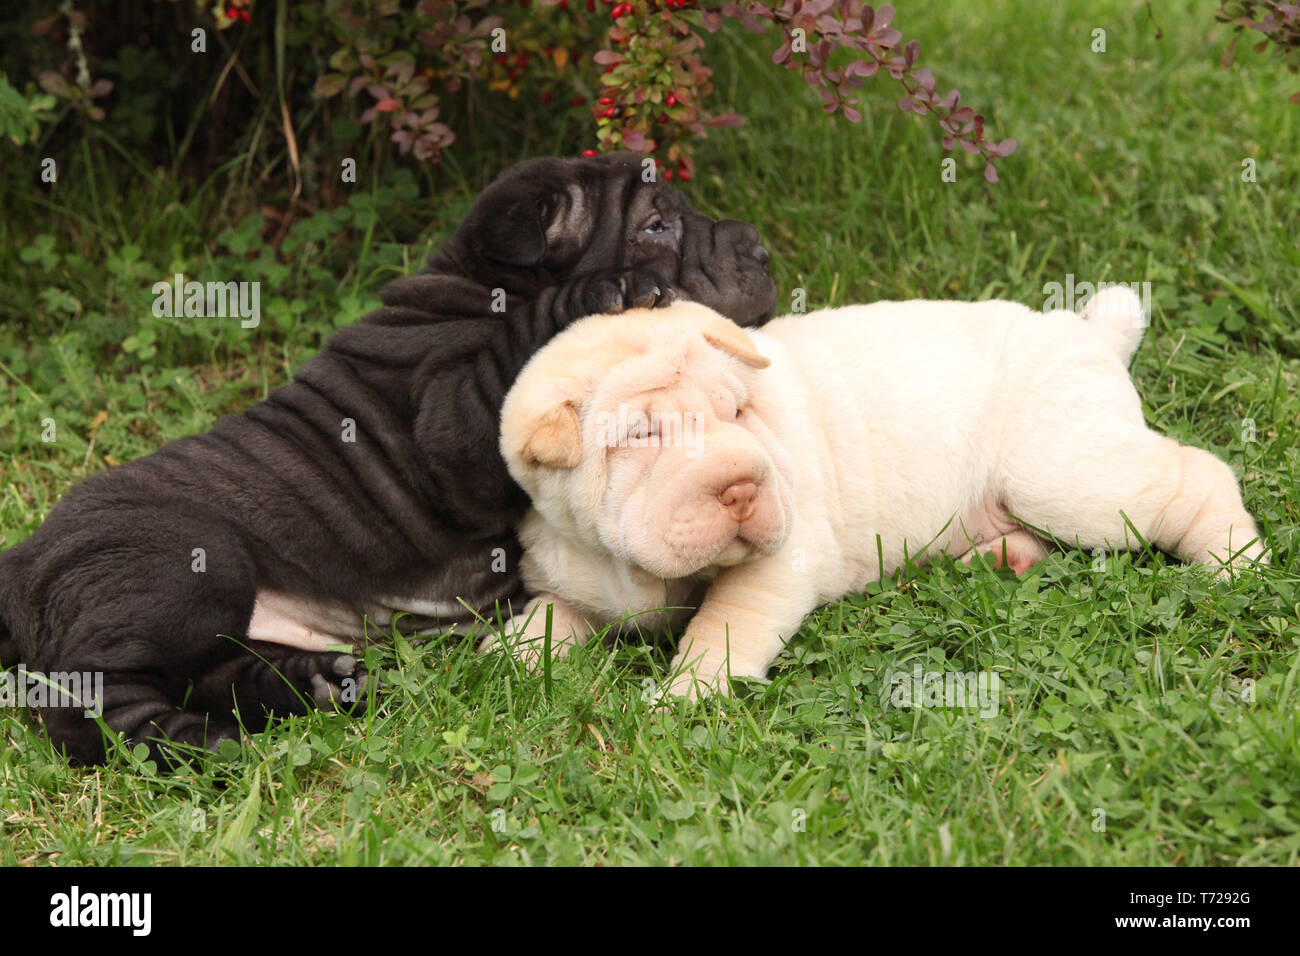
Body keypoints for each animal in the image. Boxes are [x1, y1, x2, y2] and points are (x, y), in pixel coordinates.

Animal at [0, 153, 769, 764]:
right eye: (657, 226)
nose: (760, 247)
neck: (476, 290)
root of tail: (24, 557)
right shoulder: (450, 429)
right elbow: (508, 359)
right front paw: (597, 294)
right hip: (187, 563)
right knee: (89, 698)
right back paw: (192, 745)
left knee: (211, 671)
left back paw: (315, 683)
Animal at [483, 287, 1263, 697]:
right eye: (644, 436)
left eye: (737, 411)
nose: (740, 488)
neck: (631, 567)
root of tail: (1090, 331)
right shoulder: (565, 571)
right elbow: (543, 620)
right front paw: (502, 657)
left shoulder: (779, 561)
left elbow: (724, 624)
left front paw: (684, 695)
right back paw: (998, 559)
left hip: (1069, 474)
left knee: (1194, 476)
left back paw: (1236, 557)